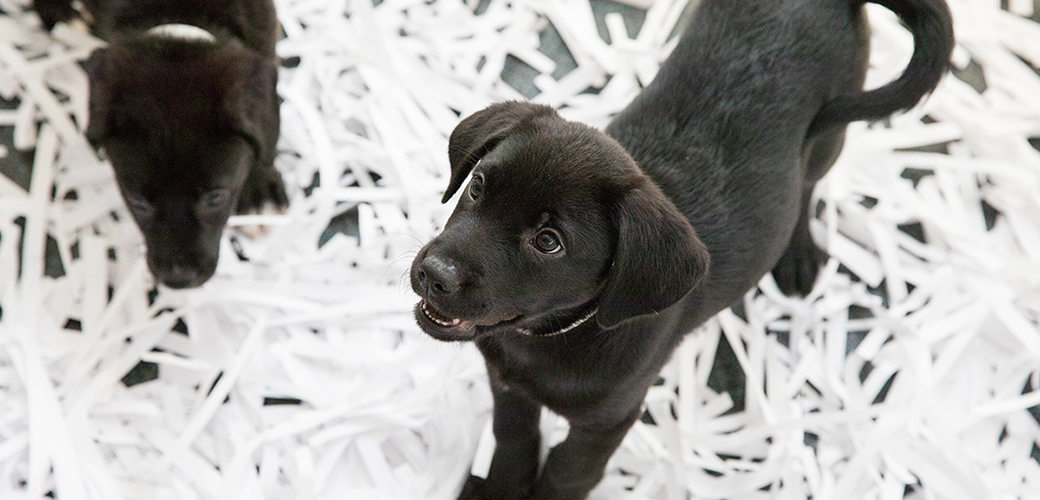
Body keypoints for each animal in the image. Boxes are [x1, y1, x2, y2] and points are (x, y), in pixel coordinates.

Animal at [409, 0, 952, 498]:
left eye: (548, 242)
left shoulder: (607, 422)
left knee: (808, 183)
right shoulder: (507, 386)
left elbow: (567, 476)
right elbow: (512, 442)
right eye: (478, 186)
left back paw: (796, 253)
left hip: (830, 131)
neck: (551, 337)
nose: (434, 274)